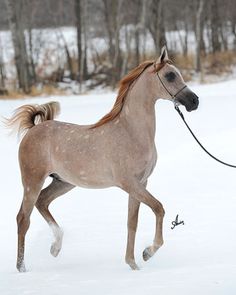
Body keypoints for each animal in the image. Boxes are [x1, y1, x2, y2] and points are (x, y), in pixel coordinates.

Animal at [6, 46, 199, 272]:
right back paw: (22, 268)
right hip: (32, 182)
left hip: (63, 182)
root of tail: (33, 129)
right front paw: (147, 253)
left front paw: (133, 264)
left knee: (43, 202)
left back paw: (55, 247)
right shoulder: (129, 184)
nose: (194, 101)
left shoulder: (141, 184)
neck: (131, 132)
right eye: (170, 75)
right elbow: (159, 208)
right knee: (23, 219)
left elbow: (131, 223)